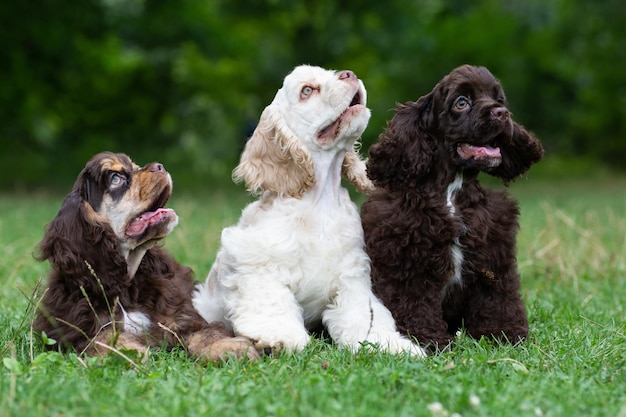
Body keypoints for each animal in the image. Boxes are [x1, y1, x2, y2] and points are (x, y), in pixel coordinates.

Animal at [33, 152, 258, 360]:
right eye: (115, 179)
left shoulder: (181, 315)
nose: (159, 166)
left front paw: (228, 347)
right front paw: (130, 352)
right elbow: (103, 338)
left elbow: (206, 331)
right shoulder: (73, 329)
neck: (124, 285)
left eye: (135, 166)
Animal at [191, 65, 424, 358]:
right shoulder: (258, 264)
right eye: (307, 90)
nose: (349, 74)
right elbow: (271, 303)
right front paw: (278, 337)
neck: (319, 202)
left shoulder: (351, 277)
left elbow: (363, 317)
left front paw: (389, 344)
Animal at [360, 65, 540, 350]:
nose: (501, 113)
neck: (451, 193)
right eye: (461, 102)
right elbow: (413, 303)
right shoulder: (405, 259)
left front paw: (505, 334)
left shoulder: (493, 256)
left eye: (499, 99)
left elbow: (498, 299)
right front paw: (428, 339)